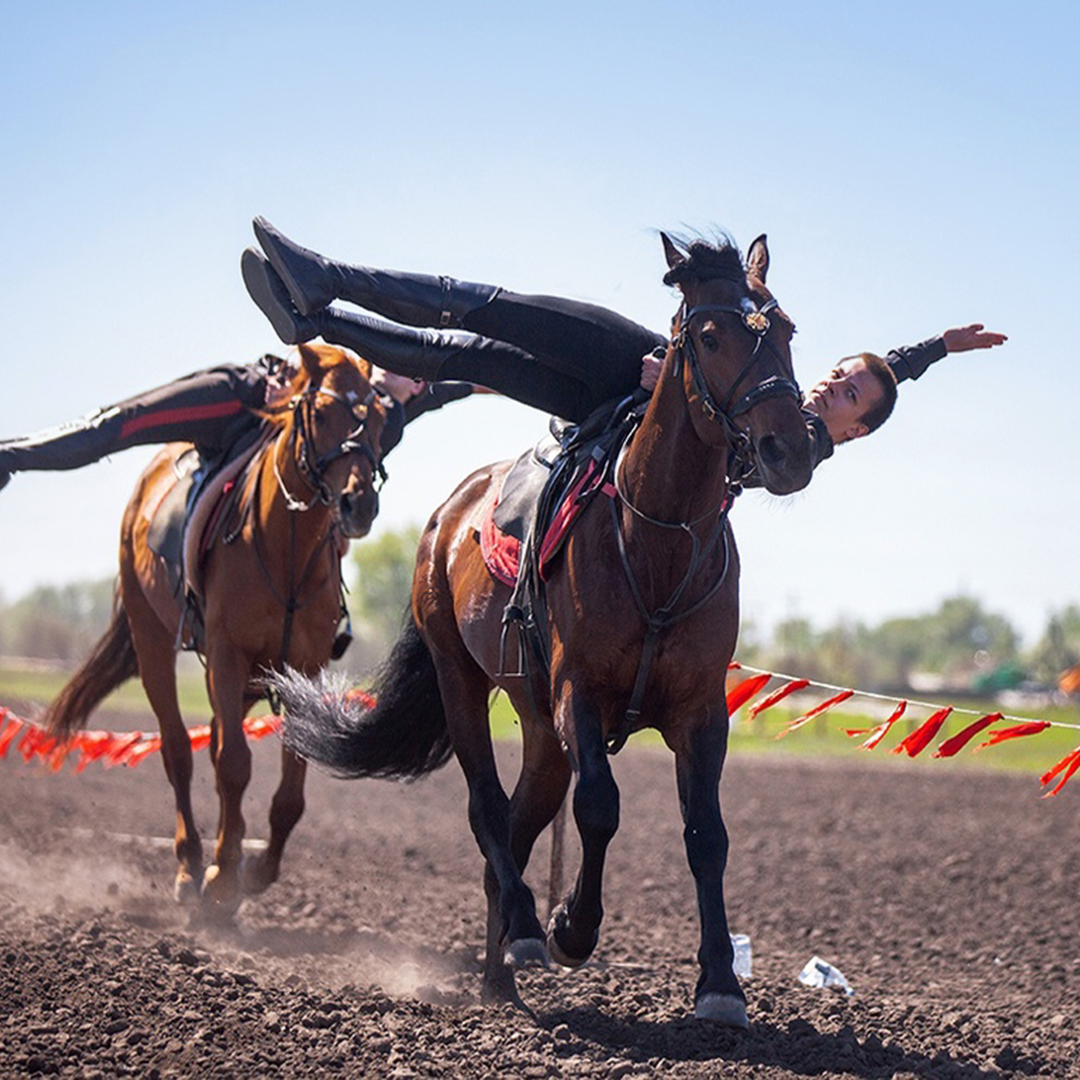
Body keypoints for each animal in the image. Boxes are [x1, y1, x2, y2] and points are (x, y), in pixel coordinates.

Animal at [43, 343, 388, 911]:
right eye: (320, 415)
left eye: (380, 419)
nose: (358, 504)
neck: (283, 545)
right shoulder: (227, 655)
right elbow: (233, 763)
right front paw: (222, 876)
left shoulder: (305, 667)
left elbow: (291, 783)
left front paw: (255, 870)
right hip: (154, 642)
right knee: (180, 751)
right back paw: (190, 866)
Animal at [274, 234, 812, 1019]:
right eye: (711, 337)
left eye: (788, 333)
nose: (788, 449)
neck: (657, 537)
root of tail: (448, 516)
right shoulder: (576, 696)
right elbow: (599, 807)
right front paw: (572, 929)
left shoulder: (699, 710)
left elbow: (706, 835)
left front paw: (719, 983)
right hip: (461, 680)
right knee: (488, 813)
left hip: (538, 729)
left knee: (517, 827)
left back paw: (501, 967)